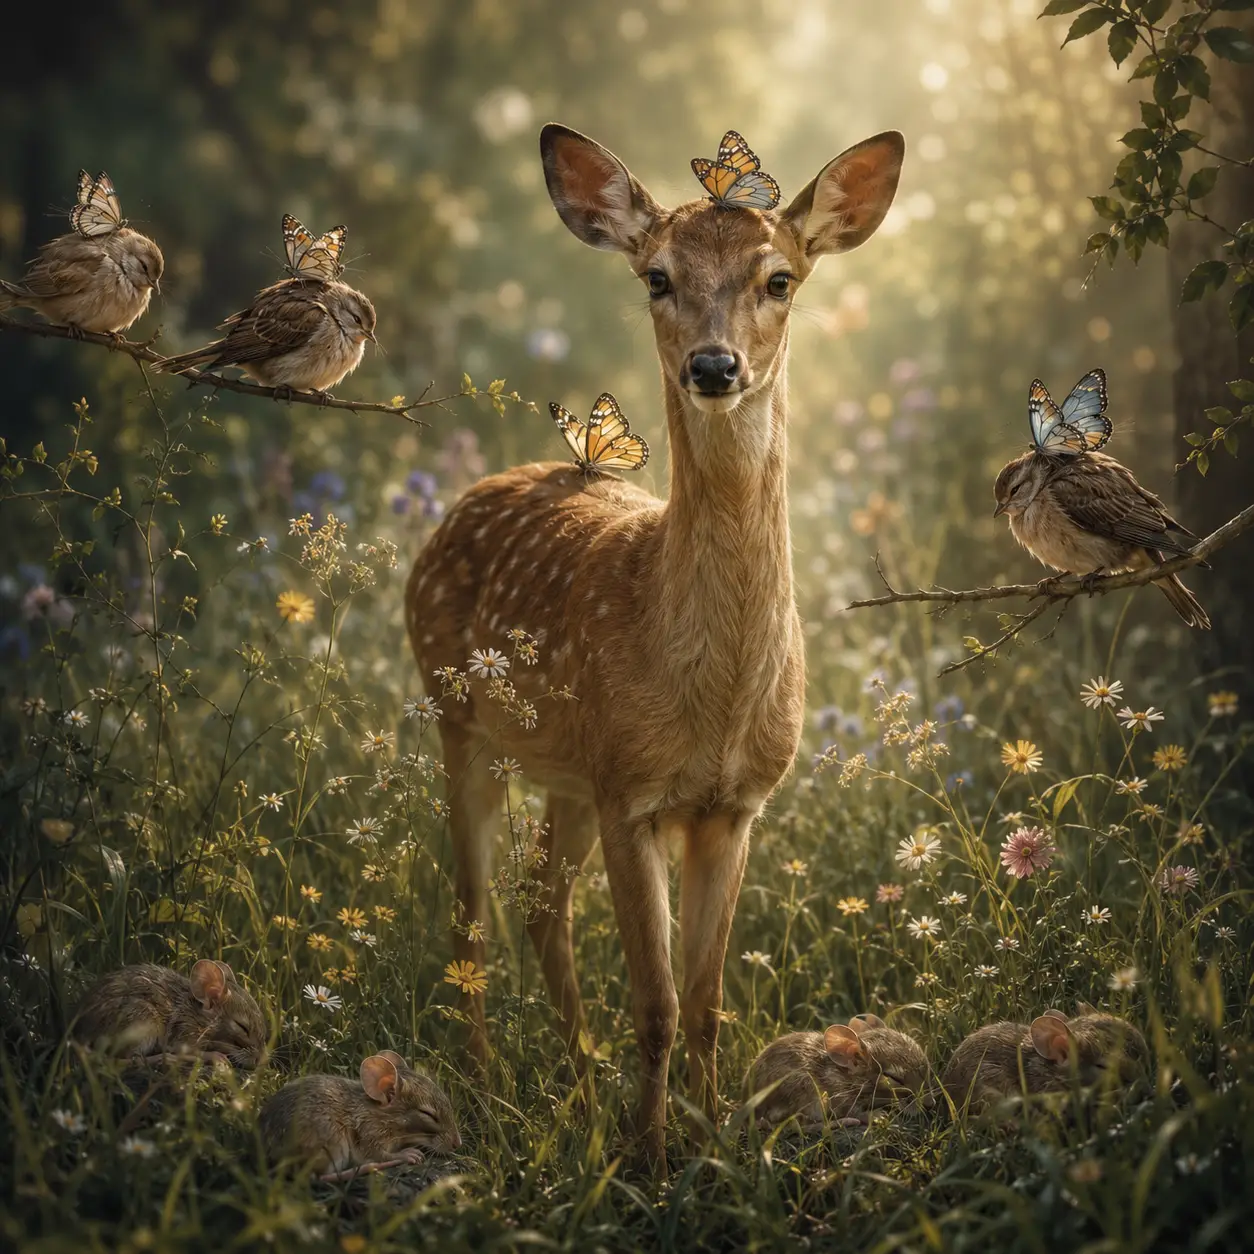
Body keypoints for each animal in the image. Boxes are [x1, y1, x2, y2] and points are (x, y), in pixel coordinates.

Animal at [404, 122, 904, 1168]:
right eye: (658, 278)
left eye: (779, 278)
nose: (714, 367)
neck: (710, 697)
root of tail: (466, 497)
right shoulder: (632, 793)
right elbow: (659, 1004)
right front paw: (653, 1159)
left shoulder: (731, 805)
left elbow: (707, 1003)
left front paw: (713, 1143)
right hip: (462, 722)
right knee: (470, 912)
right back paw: (487, 1088)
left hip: (568, 769)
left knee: (540, 905)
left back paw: (579, 1089)